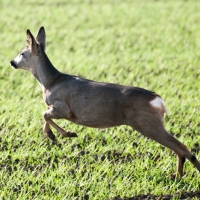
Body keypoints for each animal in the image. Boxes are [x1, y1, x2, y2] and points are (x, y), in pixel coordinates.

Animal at [10, 26, 200, 177]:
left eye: (22, 53)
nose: (12, 62)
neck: (50, 82)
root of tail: (158, 100)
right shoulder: (56, 107)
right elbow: (45, 116)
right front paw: (54, 136)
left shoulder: (64, 108)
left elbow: (44, 114)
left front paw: (66, 134)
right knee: (179, 149)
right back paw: (178, 176)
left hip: (146, 122)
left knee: (182, 147)